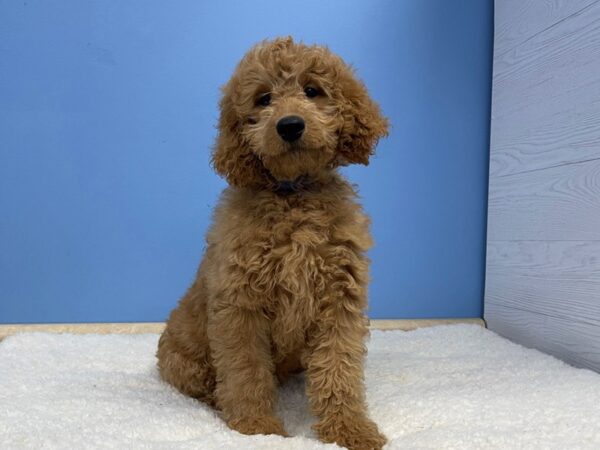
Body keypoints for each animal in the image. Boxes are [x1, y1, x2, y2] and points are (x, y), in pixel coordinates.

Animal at [156, 36, 390, 450]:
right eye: (263, 99)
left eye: (312, 91)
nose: (290, 125)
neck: (292, 195)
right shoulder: (241, 305)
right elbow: (245, 371)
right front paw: (256, 427)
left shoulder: (339, 299)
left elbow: (339, 368)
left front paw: (350, 430)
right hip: (182, 360)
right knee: (211, 384)